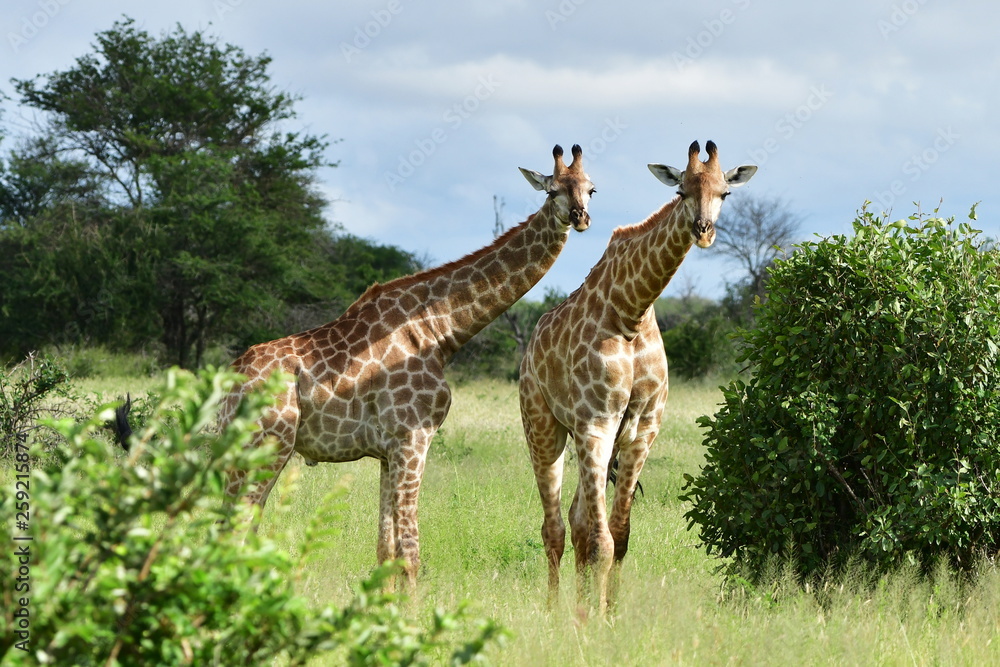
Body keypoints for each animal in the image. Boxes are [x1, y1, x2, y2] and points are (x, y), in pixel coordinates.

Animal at [219, 144, 595, 587]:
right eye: (552, 191)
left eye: (590, 188)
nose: (580, 217)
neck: (440, 330)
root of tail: (229, 385)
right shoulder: (413, 437)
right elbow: (411, 553)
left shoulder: (386, 451)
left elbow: (386, 551)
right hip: (265, 445)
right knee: (232, 532)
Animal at [518, 140, 756, 613]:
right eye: (680, 191)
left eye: (725, 193)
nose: (703, 231)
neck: (630, 311)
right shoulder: (596, 422)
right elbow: (603, 541)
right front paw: (588, 621)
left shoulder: (643, 427)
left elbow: (619, 537)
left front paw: (607, 616)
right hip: (543, 426)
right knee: (553, 528)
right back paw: (553, 613)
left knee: (576, 522)